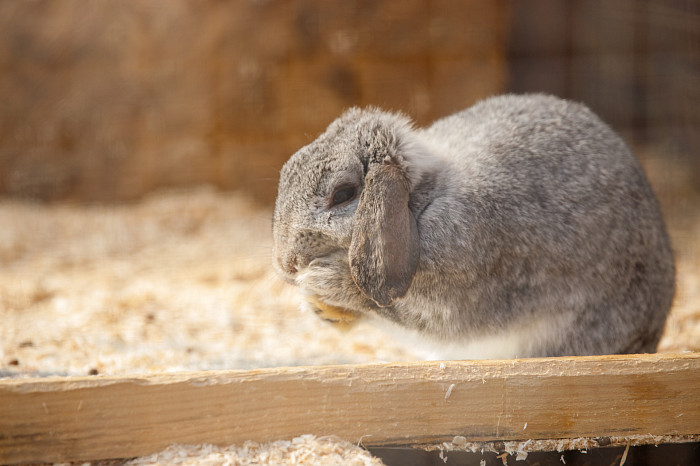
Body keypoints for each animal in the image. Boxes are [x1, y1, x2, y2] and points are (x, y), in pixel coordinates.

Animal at [270, 93, 676, 356]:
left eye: (343, 194)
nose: (286, 265)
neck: (421, 203)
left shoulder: (455, 290)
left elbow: (393, 308)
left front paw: (322, 281)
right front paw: (319, 307)